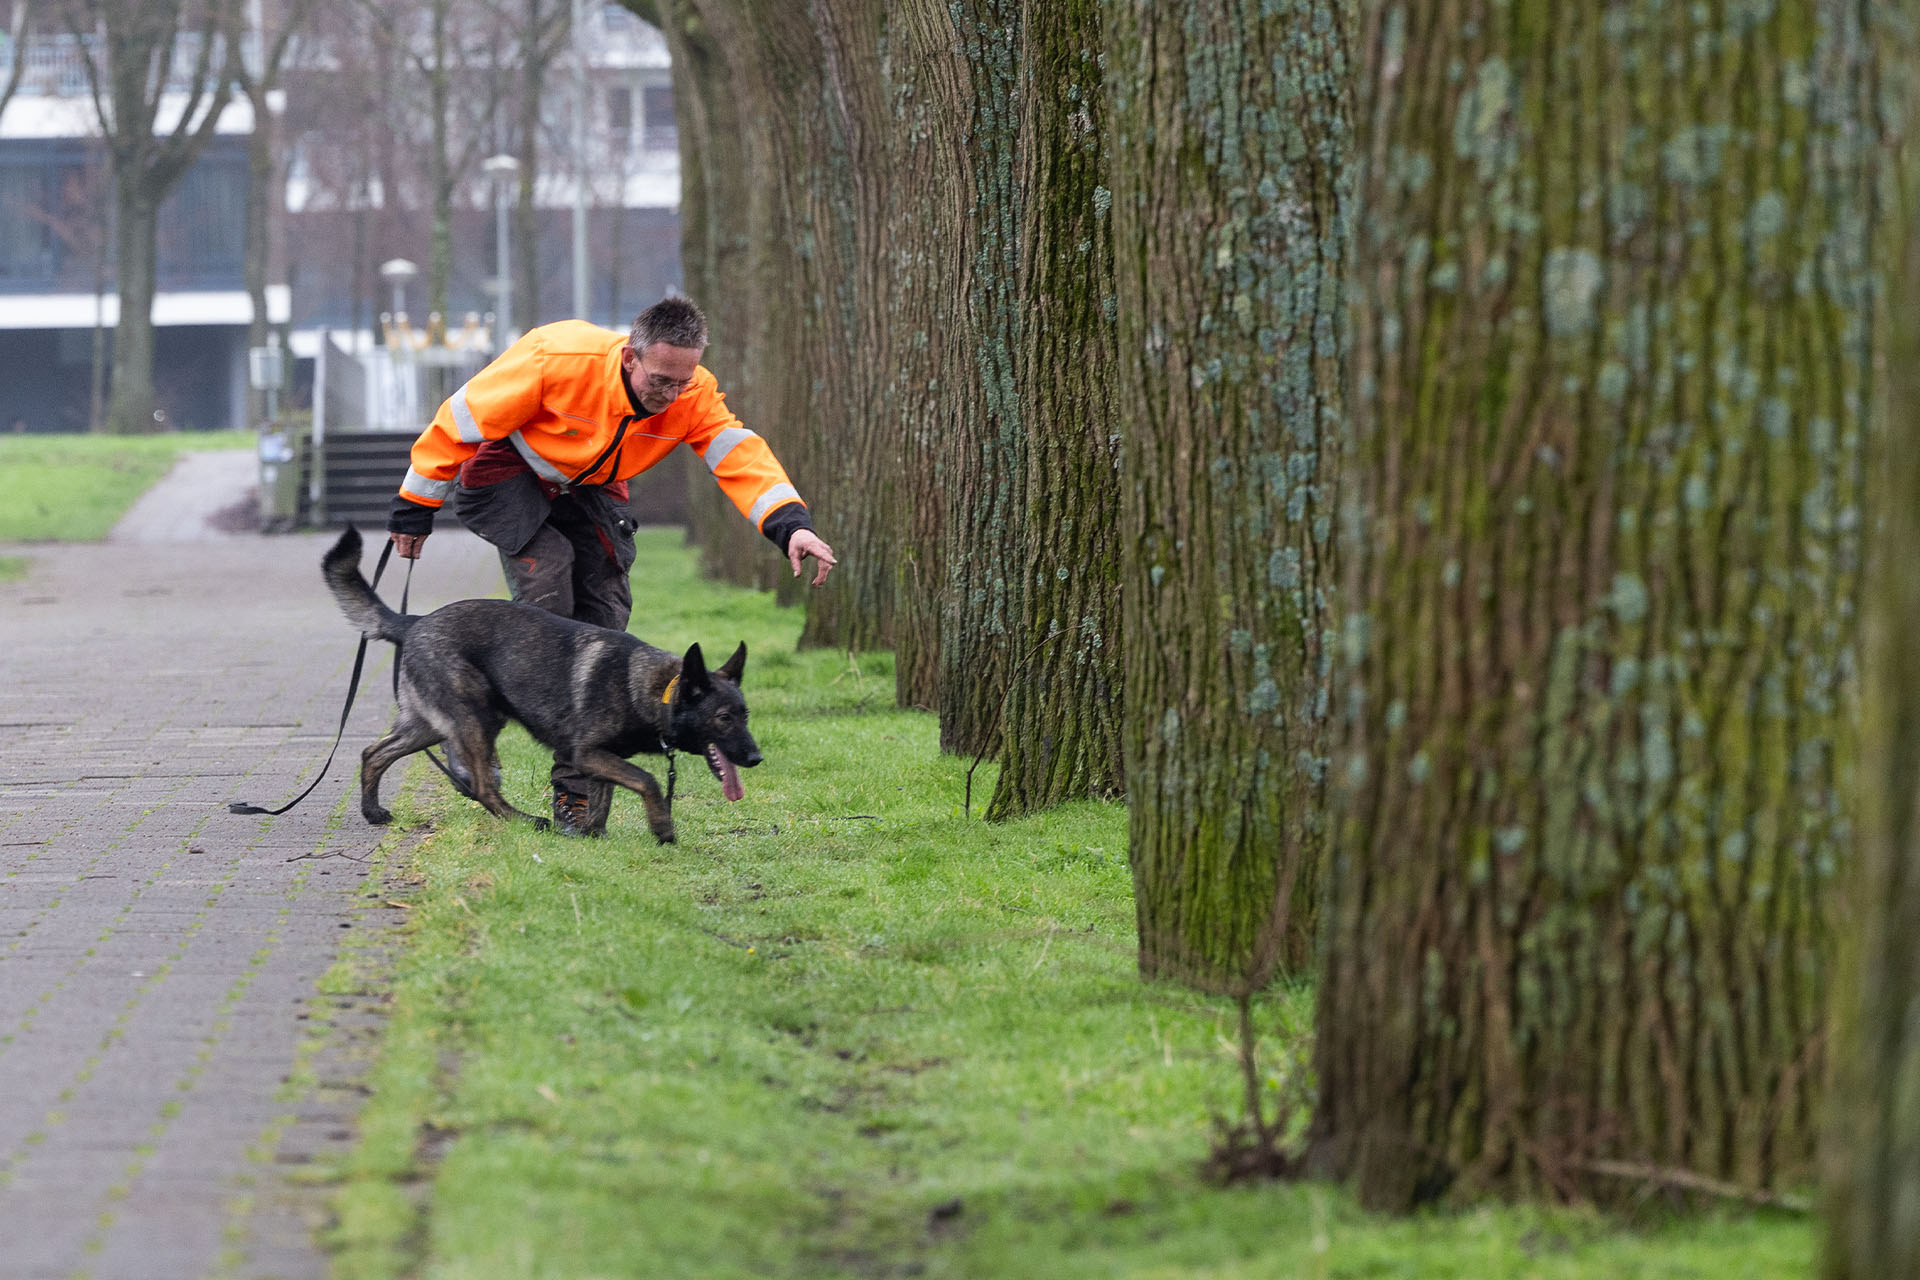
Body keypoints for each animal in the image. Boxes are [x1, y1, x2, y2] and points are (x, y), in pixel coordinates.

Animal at [320, 525, 756, 844]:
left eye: (745, 715)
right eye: (723, 718)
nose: (756, 758)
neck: (648, 687)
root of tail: (415, 622)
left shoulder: (602, 759)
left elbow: (604, 797)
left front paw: (591, 835)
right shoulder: (588, 753)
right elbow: (646, 780)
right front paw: (662, 828)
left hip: (428, 725)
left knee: (374, 753)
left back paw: (372, 811)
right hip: (478, 720)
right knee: (482, 786)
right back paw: (523, 820)